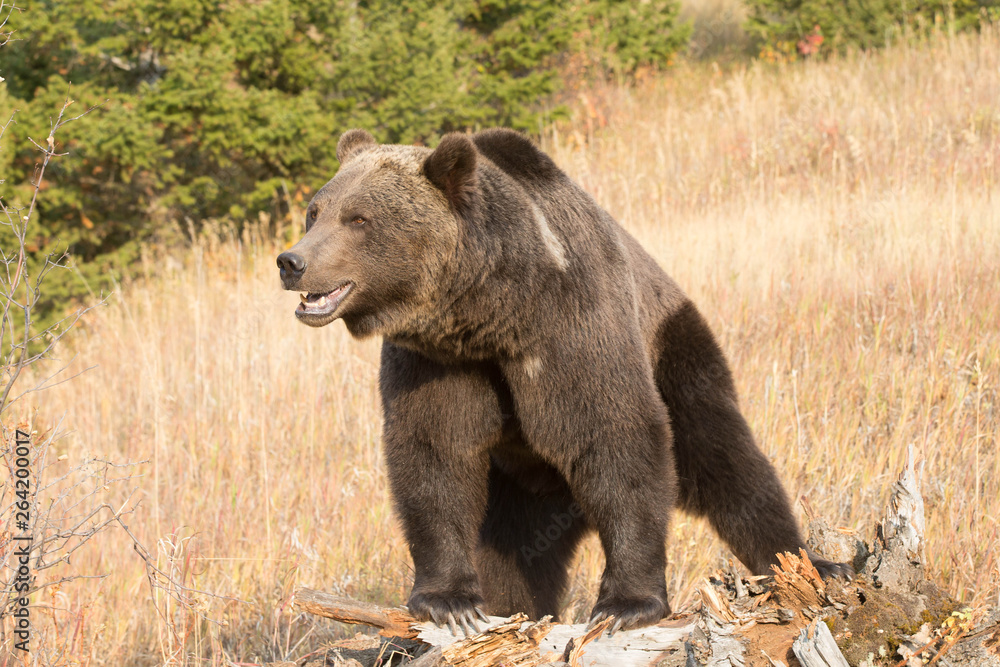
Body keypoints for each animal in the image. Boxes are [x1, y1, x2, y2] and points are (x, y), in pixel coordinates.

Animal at [276, 127, 852, 634]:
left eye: (359, 218)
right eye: (316, 210)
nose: (291, 261)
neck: (492, 314)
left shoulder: (571, 329)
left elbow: (617, 437)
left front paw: (626, 604)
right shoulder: (435, 362)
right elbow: (434, 452)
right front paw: (450, 601)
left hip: (676, 347)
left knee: (724, 457)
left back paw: (806, 560)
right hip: (524, 486)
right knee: (513, 545)